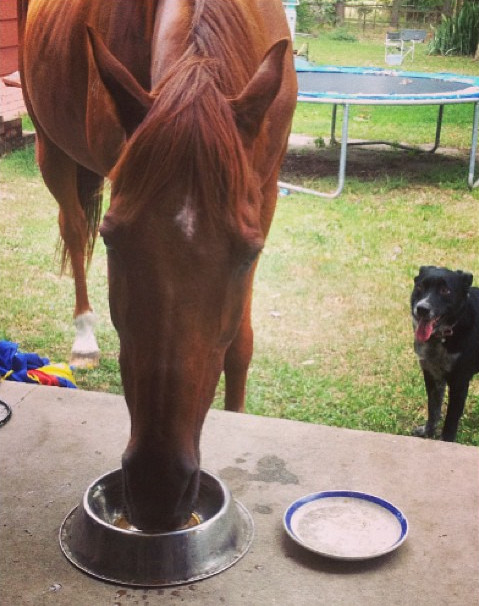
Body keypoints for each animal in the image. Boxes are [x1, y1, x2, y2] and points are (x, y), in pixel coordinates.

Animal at [20, 0, 298, 532]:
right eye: (114, 241)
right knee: (72, 228)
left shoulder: (266, 190)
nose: (157, 489)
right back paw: (84, 338)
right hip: (52, 149)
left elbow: (239, 346)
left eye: (249, 253)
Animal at [412, 266, 479, 442]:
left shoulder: (459, 382)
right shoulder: (432, 375)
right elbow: (433, 410)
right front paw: (428, 433)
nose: (422, 309)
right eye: (420, 287)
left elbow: (450, 421)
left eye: (445, 290)